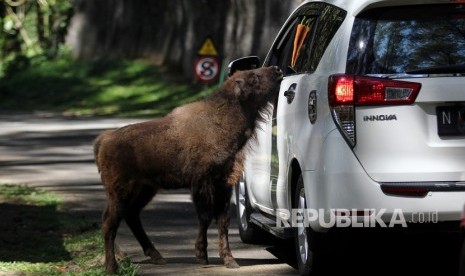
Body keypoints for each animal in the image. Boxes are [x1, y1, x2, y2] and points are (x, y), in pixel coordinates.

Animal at [93, 65, 282, 274]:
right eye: (254, 78)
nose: (277, 69)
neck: (223, 117)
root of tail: (105, 140)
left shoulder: (223, 184)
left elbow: (223, 220)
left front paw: (230, 260)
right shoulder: (202, 183)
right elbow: (206, 217)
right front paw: (202, 256)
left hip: (146, 189)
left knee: (131, 216)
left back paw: (157, 257)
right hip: (121, 191)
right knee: (109, 223)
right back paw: (112, 267)